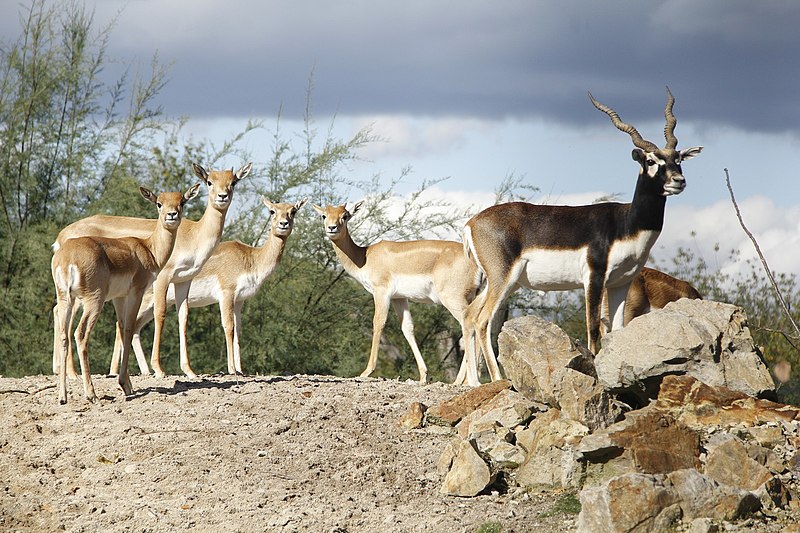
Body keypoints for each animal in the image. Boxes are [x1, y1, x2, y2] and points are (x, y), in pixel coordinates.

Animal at [52, 184, 199, 404]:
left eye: (182, 201)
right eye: (159, 203)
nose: (172, 215)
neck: (147, 249)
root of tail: (67, 257)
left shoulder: (118, 298)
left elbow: (121, 329)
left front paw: (127, 384)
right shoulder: (136, 292)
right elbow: (129, 329)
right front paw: (125, 385)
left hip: (66, 299)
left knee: (64, 335)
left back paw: (63, 397)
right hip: (93, 301)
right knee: (80, 334)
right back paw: (91, 394)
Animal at [53, 162, 250, 378]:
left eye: (233, 181)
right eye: (209, 181)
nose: (222, 196)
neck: (193, 235)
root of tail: (62, 237)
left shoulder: (183, 280)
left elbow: (183, 318)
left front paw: (189, 371)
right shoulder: (164, 277)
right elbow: (160, 313)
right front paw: (158, 368)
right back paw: (72, 373)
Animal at [111, 197, 310, 376]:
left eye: (293, 211)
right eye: (272, 211)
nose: (284, 224)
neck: (251, 258)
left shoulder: (240, 301)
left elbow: (238, 331)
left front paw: (241, 369)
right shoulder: (227, 293)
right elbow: (228, 327)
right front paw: (232, 369)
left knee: (134, 328)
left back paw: (145, 371)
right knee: (121, 325)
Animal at [310, 203, 482, 382]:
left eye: (345, 215)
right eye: (324, 215)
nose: (332, 228)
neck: (364, 257)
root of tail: (475, 261)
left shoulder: (381, 292)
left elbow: (378, 323)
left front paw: (367, 371)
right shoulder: (398, 298)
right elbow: (407, 328)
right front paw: (423, 375)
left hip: (453, 299)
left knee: (470, 324)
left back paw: (461, 381)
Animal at [462, 87, 700, 380]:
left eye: (677, 158)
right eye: (651, 160)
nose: (678, 181)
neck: (626, 224)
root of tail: (472, 223)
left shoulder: (621, 283)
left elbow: (617, 330)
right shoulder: (594, 278)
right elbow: (593, 327)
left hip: (503, 282)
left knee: (469, 316)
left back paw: (475, 383)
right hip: (502, 279)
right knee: (483, 320)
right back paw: (498, 379)